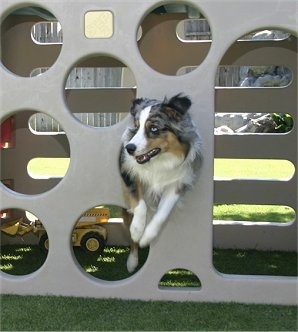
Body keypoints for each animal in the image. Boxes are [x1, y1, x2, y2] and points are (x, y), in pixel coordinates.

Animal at [119, 93, 203, 272]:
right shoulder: (129, 175)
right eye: (136, 127)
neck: (159, 160)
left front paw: (147, 237)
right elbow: (140, 205)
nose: (129, 148)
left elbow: (162, 213)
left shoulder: (176, 184)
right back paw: (132, 261)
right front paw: (137, 230)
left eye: (154, 129)